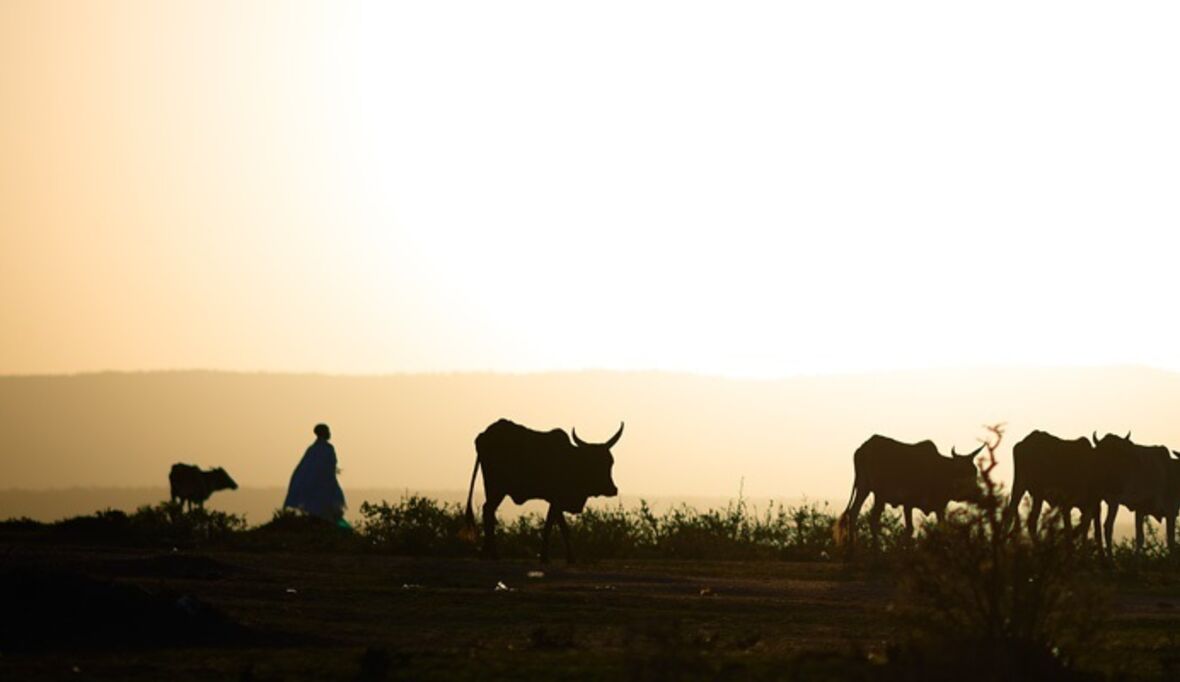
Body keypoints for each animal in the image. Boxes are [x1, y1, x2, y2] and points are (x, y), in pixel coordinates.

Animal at [462, 417, 623, 559]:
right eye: (593, 463)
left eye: (610, 462)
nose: (612, 489)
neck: (572, 461)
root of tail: (483, 436)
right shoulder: (556, 499)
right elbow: (556, 526)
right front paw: (554, 557)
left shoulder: (556, 502)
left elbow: (555, 525)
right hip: (497, 489)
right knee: (488, 510)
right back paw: (493, 554)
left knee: (488, 511)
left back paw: (485, 552)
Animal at [830, 434, 986, 547]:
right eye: (961, 470)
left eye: (974, 472)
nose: (977, 492)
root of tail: (862, 448)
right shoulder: (908, 502)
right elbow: (910, 529)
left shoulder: (939, 507)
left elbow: (942, 529)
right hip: (878, 493)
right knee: (872, 519)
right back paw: (875, 551)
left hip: (864, 487)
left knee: (854, 513)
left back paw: (852, 550)